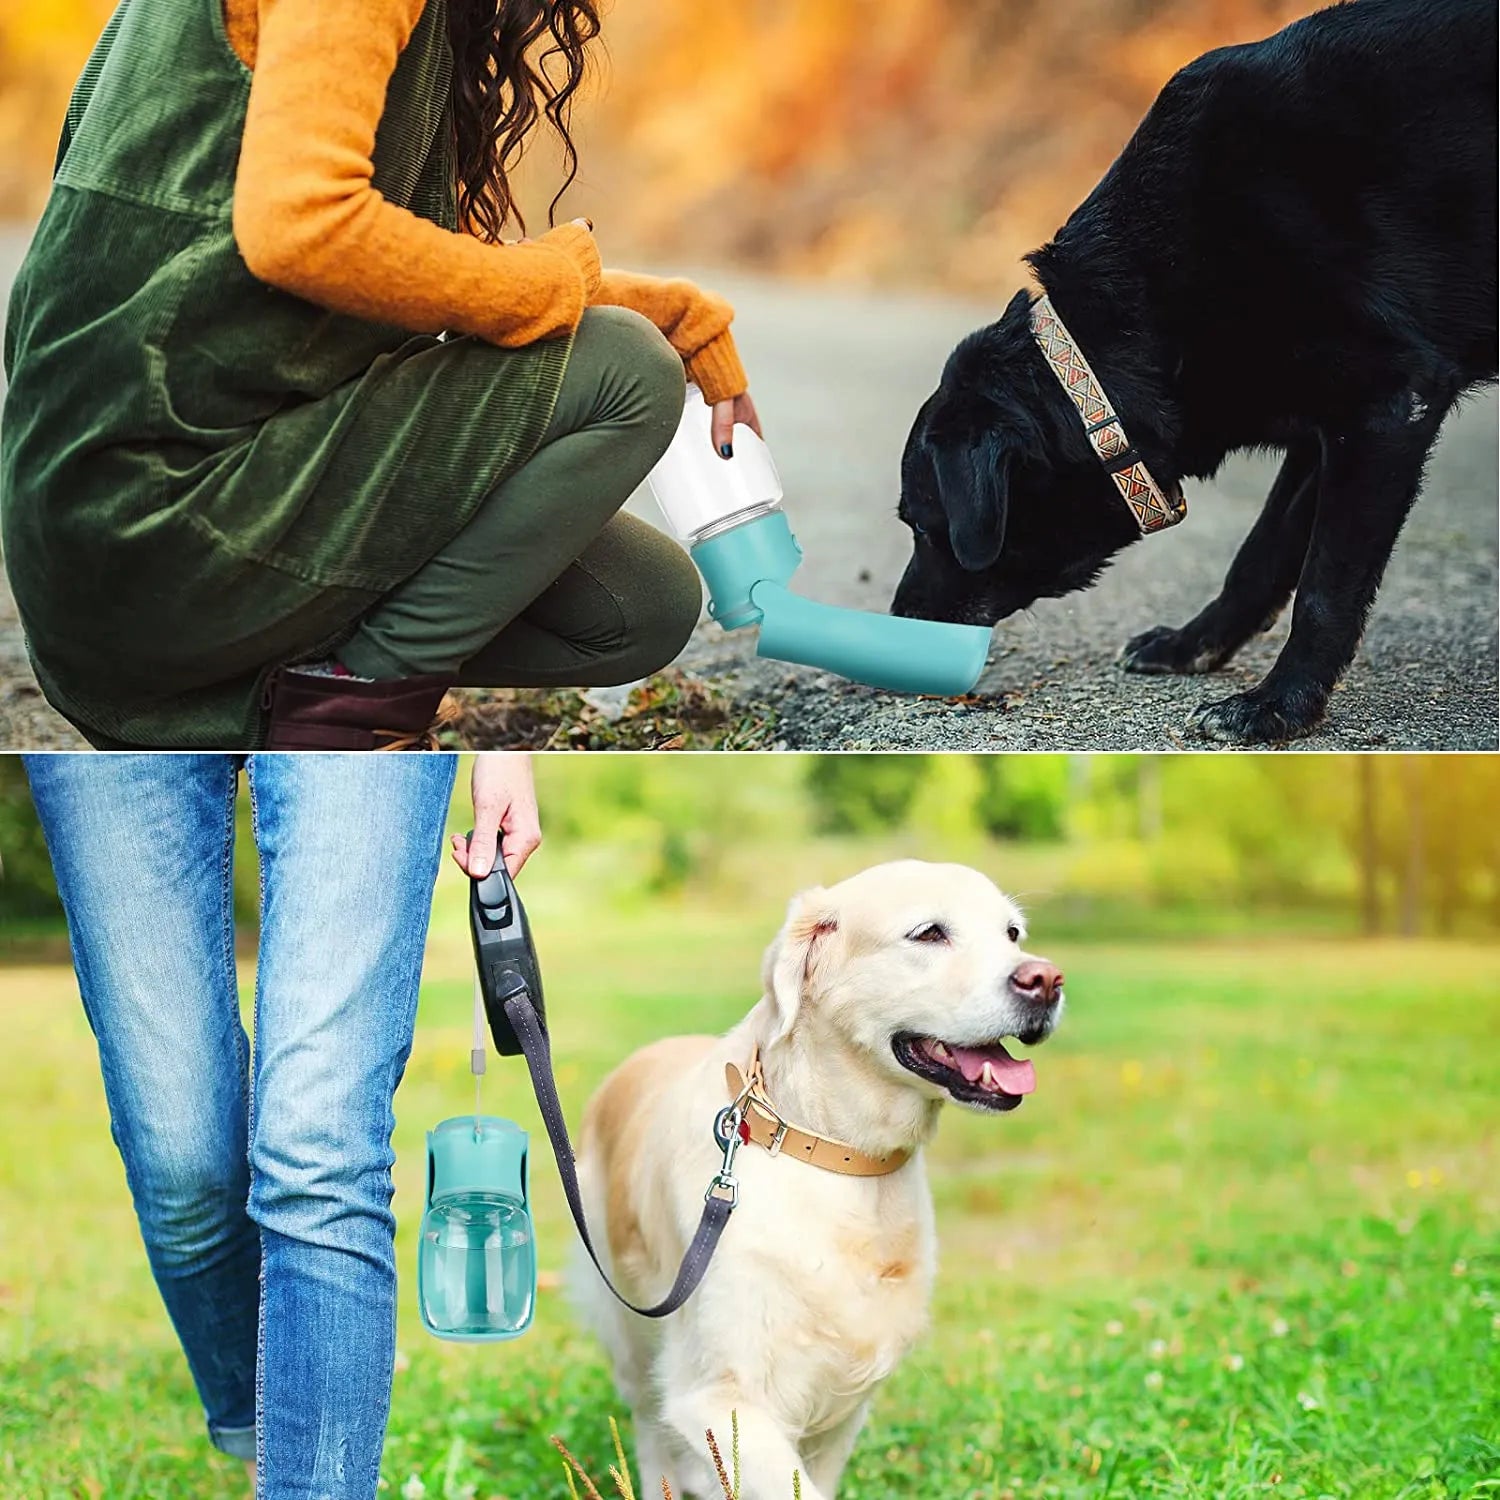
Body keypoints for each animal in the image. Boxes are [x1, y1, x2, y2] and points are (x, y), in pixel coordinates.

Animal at [894, 0, 1494, 747]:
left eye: (922, 527)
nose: (895, 625)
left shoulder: (1389, 407)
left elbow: (1325, 587)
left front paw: (1279, 705)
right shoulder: (1326, 426)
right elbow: (1260, 555)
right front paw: (1195, 645)